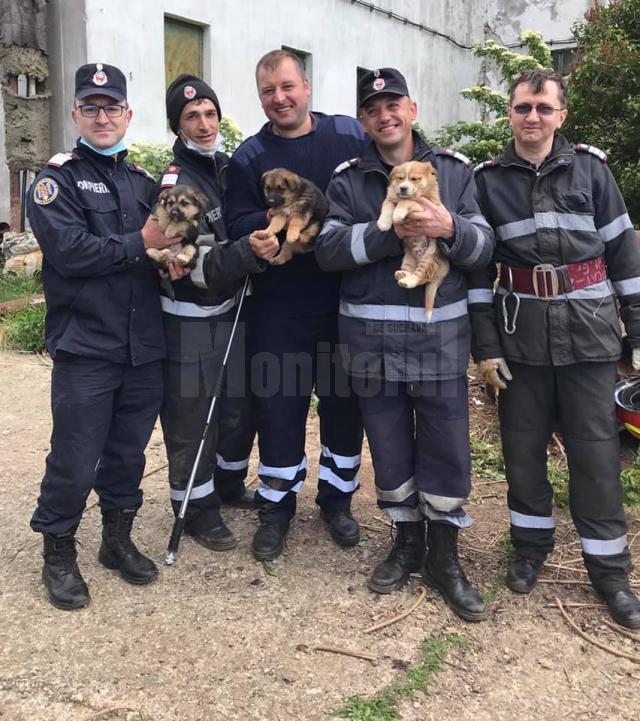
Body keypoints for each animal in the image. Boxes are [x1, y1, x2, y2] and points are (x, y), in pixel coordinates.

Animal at [378, 163, 448, 324]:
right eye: (400, 178)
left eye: (415, 179)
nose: (403, 188)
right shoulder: (390, 198)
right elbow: (387, 204)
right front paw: (383, 223)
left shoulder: (426, 206)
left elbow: (408, 201)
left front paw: (397, 214)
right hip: (408, 258)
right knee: (412, 271)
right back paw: (402, 275)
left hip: (429, 258)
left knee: (420, 277)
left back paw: (408, 281)